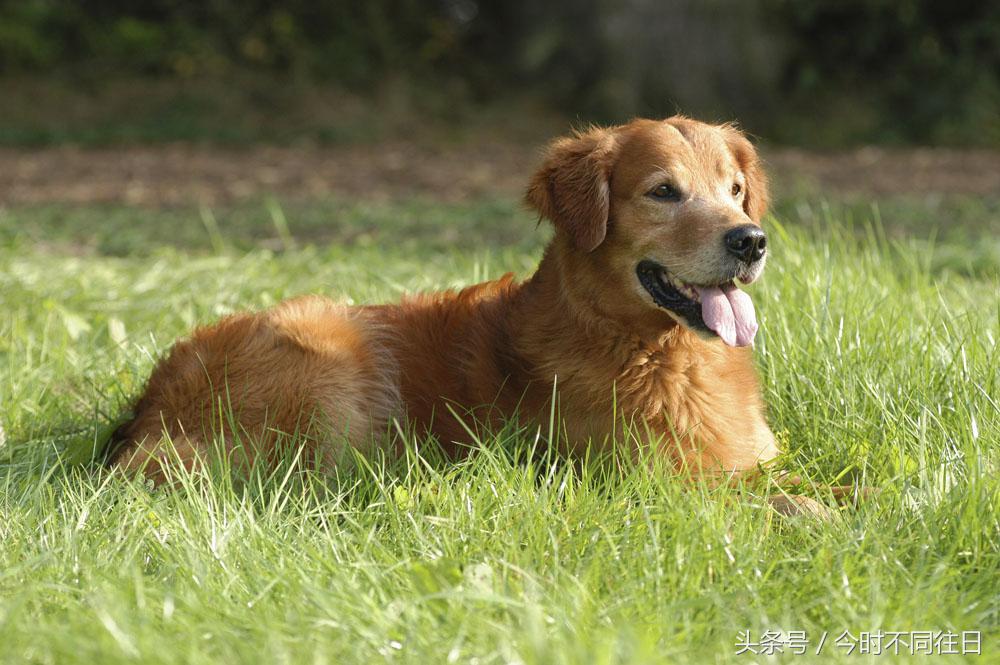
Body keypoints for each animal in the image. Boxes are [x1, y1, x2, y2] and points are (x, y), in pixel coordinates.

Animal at [111, 115, 796, 498]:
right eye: (663, 192)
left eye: (735, 190)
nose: (751, 240)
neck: (659, 350)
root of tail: (149, 406)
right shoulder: (656, 482)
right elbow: (782, 504)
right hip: (330, 357)